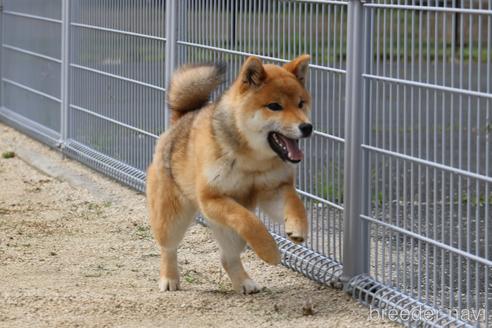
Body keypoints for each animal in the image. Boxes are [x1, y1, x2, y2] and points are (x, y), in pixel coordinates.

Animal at [148, 55, 314, 294]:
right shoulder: (211, 199)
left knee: (227, 258)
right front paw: (270, 252)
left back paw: (244, 282)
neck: (252, 161)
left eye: (301, 103)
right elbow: (249, 221)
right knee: (168, 248)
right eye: (274, 106)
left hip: (228, 232)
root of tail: (182, 118)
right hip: (172, 219)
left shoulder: (275, 189)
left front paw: (297, 227)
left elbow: (295, 203)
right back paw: (169, 278)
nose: (307, 127)